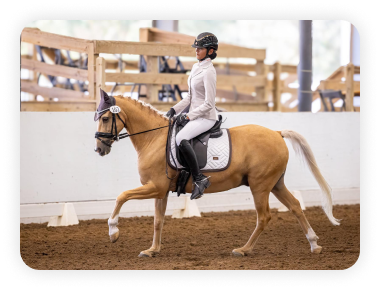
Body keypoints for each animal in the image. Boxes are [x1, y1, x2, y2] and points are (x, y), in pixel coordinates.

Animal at [93, 92, 340, 258]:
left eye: (105, 118)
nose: (99, 149)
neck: (154, 139)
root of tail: (277, 133)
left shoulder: (155, 186)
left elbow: (122, 196)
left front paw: (113, 232)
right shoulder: (160, 191)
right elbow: (157, 221)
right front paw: (152, 250)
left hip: (260, 186)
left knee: (264, 217)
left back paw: (243, 249)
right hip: (276, 184)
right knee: (296, 206)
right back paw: (314, 244)